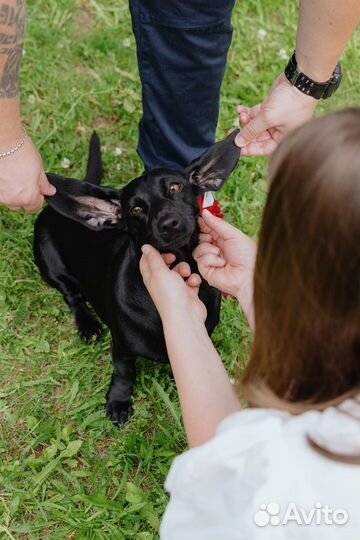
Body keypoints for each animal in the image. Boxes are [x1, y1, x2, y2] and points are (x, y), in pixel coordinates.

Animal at [33, 132, 240, 426]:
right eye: (135, 210)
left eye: (176, 187)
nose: (169, 223)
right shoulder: (122, 348)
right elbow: (124, 373)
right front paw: (119, 401)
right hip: (51, 265)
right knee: (73, 296)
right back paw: (87, 324)